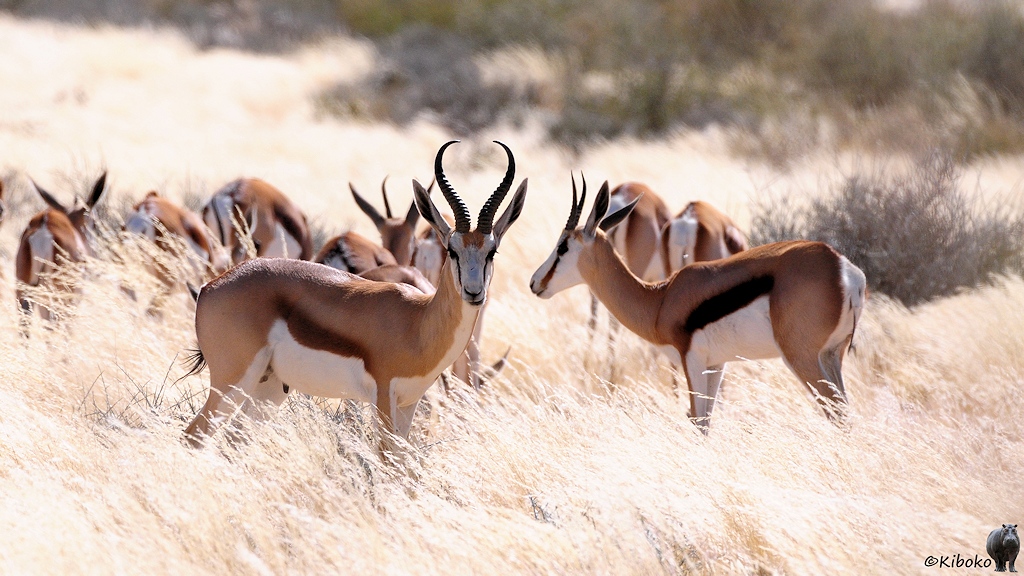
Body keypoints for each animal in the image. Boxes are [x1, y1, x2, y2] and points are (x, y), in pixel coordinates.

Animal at [183, 141, 528, 453]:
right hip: (232, 381)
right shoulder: (384, 400)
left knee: (232, 441)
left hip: (267, 390)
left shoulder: (408, 404)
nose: (473, 292)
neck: (418, 321)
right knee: (194, 435)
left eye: (492, 251)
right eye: (452, 250)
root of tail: (211, 287)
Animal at [529, 175, 866, 431]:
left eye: (562, 246)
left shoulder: (691, 359)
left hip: (802, 358)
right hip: (831, 356)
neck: (660, 300)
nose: (535, 282)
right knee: (845, 412)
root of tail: (845, 272)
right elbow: (706, 421)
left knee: (836, 414)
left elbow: (697, 421)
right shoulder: (716, 364)